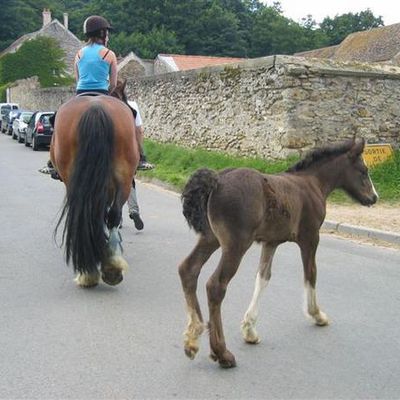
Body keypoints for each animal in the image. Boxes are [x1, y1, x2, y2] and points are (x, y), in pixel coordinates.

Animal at [178, 138, 378, 368]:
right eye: (364, 170)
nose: (374, 197)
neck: (312, 183)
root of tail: (217, 180)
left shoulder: (271, 242)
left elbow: (263, 278)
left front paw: (250, 330)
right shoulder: (310, 237)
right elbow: (311, 274)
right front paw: (317, 315)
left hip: (211, 238)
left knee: (188, 269)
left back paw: (192, 339)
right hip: (236, 244)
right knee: (215, 285)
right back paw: (222, 353)